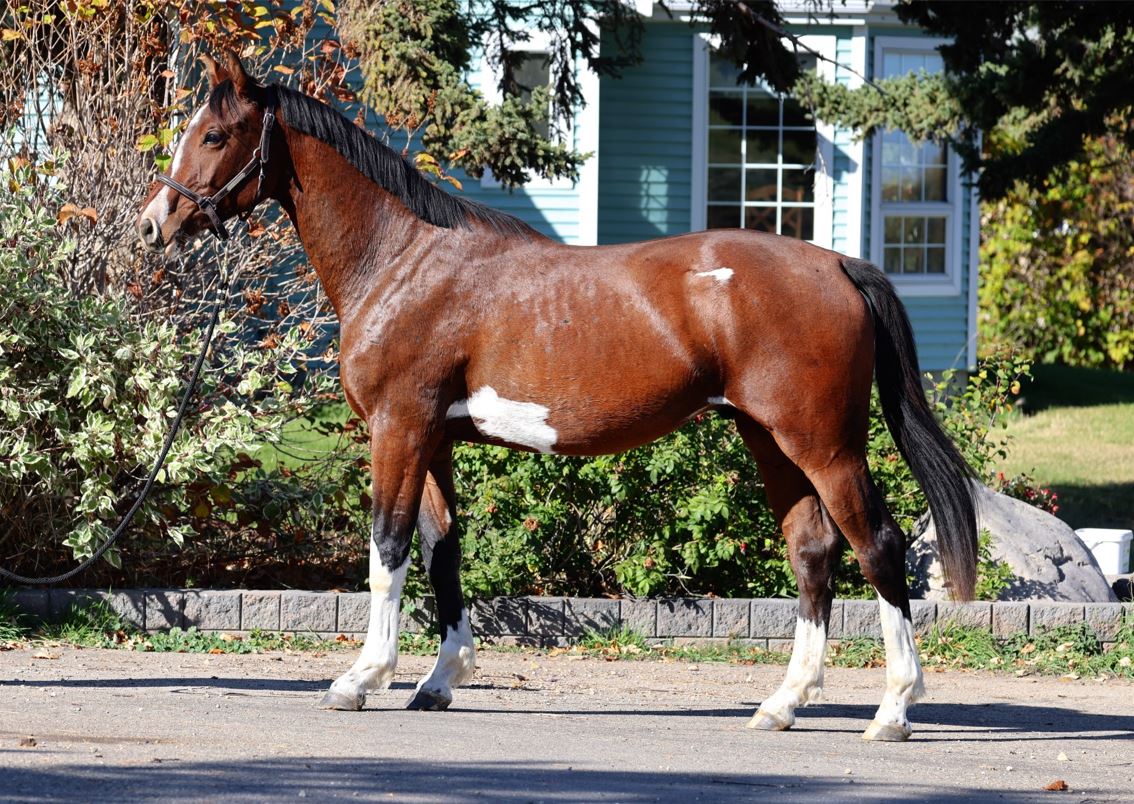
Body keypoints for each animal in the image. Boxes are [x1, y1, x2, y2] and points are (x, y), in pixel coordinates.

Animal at [137, 54, 979, 739]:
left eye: (215, 136)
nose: (153, 225)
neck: (403, 258)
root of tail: (837, 264)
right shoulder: (434, 438)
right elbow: (444, 551)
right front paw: (439, 680)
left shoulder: (398, 428)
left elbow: (388, 548)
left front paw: (361, 679)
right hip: (769, 440)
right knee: (812, 551)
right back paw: (783, 703)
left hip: (825, 444)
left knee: (878, 546)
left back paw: (894, 709)